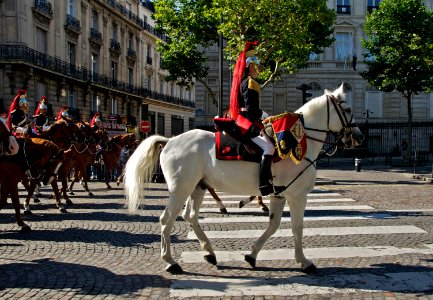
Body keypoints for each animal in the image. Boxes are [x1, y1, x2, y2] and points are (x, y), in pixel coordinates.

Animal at [123, 84, 362, 274]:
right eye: (348, 109)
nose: (359, 136)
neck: (298, 140)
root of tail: (170, 140)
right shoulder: (297, 196)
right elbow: (297, 228)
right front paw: (304, 262)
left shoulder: (279, 195)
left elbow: (274, 225)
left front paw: (252, 255)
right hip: (180, 189)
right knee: (167, 220)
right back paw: (171, 262)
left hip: (198, 187)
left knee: (189, 216)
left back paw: (209, 252)